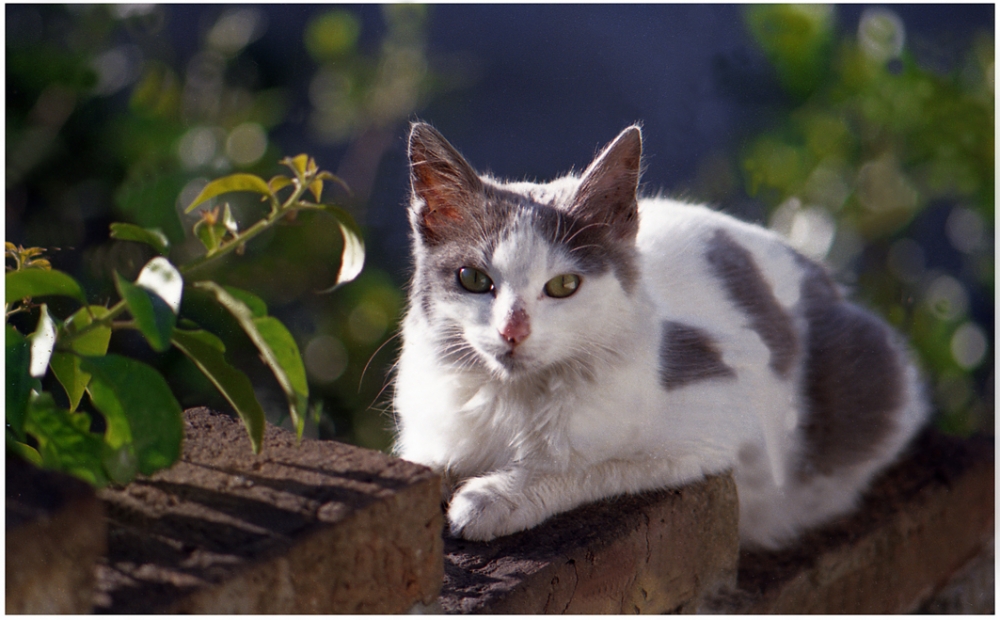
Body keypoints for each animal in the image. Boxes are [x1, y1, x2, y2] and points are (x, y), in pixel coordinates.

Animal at [392, 121, 928, 548]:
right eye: (473, 279)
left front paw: (491, 498)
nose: (512, 330)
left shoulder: (716, 425)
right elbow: (425, 461)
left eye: (563, 286)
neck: (512, 397)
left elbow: (587, 465)